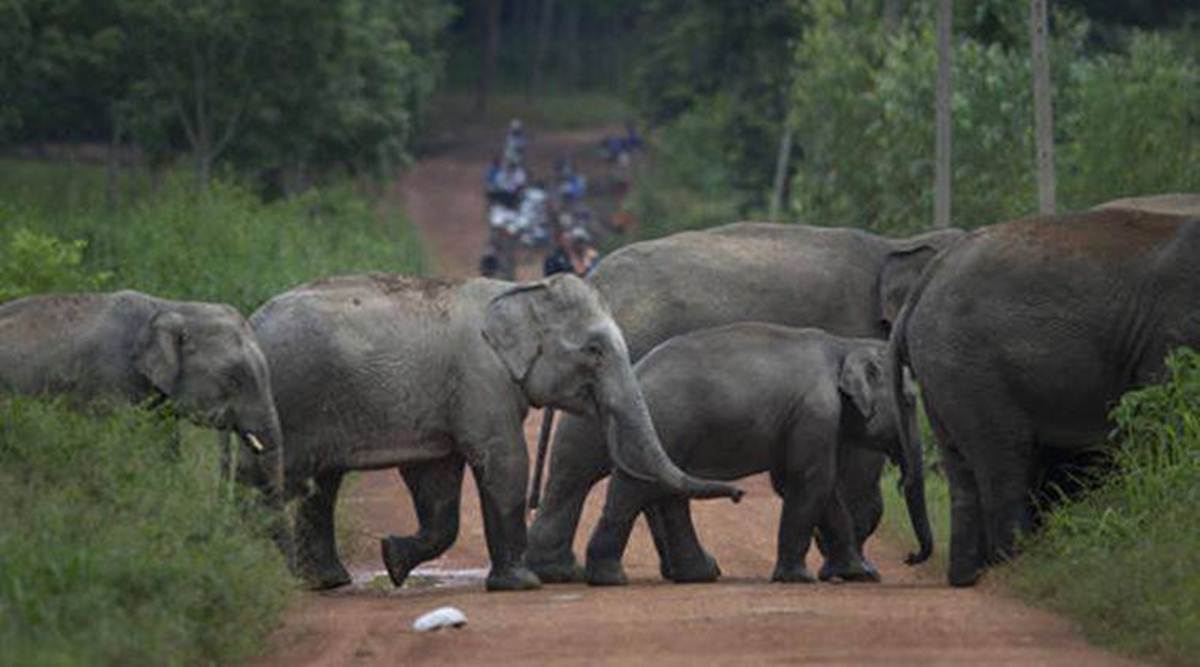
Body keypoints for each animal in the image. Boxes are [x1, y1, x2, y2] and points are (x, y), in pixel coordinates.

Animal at [246, 273, 742, 592]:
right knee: (277, 481)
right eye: (594, 350)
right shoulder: (480, 378)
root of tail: (251, 323)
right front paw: (522, 584)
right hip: (291, 400)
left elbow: (437, 483)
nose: (739, 494)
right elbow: (504, 461)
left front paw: (393, 559)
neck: (518, 293)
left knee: (319, 486)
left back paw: (326, 581)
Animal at [583, 323, 933, 586]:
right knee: (638, 489)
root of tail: (635, 372)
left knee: (663, 490)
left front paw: (859, 574)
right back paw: (612, 579)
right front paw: (799, 578)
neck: (845, 344)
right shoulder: (816, 411)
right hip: (667, 421)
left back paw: (696, 575)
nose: (910, 557)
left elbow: (809, 484)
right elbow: (810, 480)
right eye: (909, 401)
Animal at [890, 207, 1200, 587]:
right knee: (1004, 462)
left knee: (961, 470)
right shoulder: (1175, 334)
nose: (908, 557)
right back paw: (1014, 566)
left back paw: (968, 576)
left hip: (944, 373)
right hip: (972, 371)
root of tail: (925, 284)